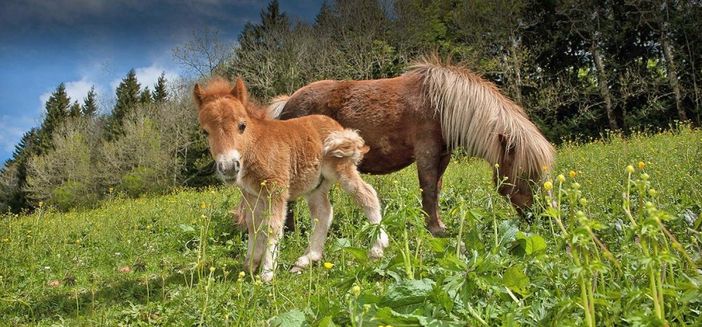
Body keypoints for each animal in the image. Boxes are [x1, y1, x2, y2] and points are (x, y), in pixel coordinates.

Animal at [195, 77, 388, 282]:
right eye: (205, 132)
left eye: (242, 125)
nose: (229, 167)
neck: (255, 145)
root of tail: (337, 126)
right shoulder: (251, 194)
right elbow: (253, 225)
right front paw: (250, 265)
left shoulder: (276, 189)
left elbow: (272, 226)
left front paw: (267, 273)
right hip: (316, 186)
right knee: (324, 213)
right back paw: (306, 260)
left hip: (341, 169)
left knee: (366, 195)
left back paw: (377, 248)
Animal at [270, 58, 556, 236]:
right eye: (528, 175)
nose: (544, 217)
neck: (442, 104)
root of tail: (289, 101)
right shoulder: (426, 152)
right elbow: (427, 189)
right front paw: (435, 229)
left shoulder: (443, 156)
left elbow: (436, 190)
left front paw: (437, 224)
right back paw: (290, 232)